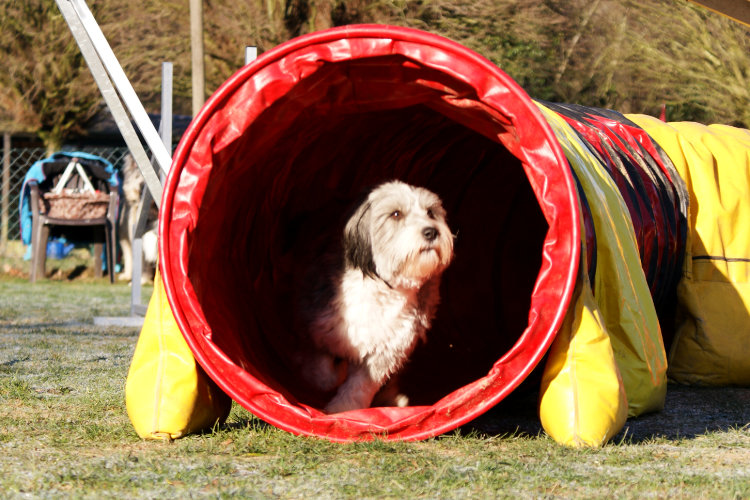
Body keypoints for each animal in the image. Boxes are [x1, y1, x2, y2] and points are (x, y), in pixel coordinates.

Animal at [304, 182, 452, 412]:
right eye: (396, 214)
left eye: (430, 212)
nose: (431, 231)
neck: (381, 289)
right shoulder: (316, 325)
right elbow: (321, 369)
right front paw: (330, 378)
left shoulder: (388, 350)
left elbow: (359, 386)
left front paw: (342, 410)